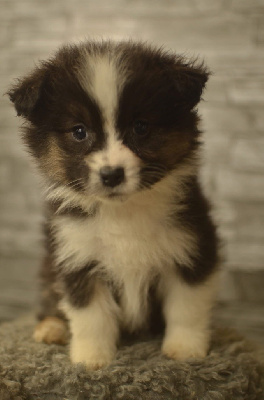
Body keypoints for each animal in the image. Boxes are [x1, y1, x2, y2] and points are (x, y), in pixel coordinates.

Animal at [8, 39, 219, 370]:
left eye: (141, 127)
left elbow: (187, 305)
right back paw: (51, 329)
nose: (111, 175)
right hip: (48, 268)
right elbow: (90, 315)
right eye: (79, 131)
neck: (123, 211)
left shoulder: (191, 246)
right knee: (50, 301)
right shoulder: (77, 255)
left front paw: (186, 350)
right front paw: (91, 359)